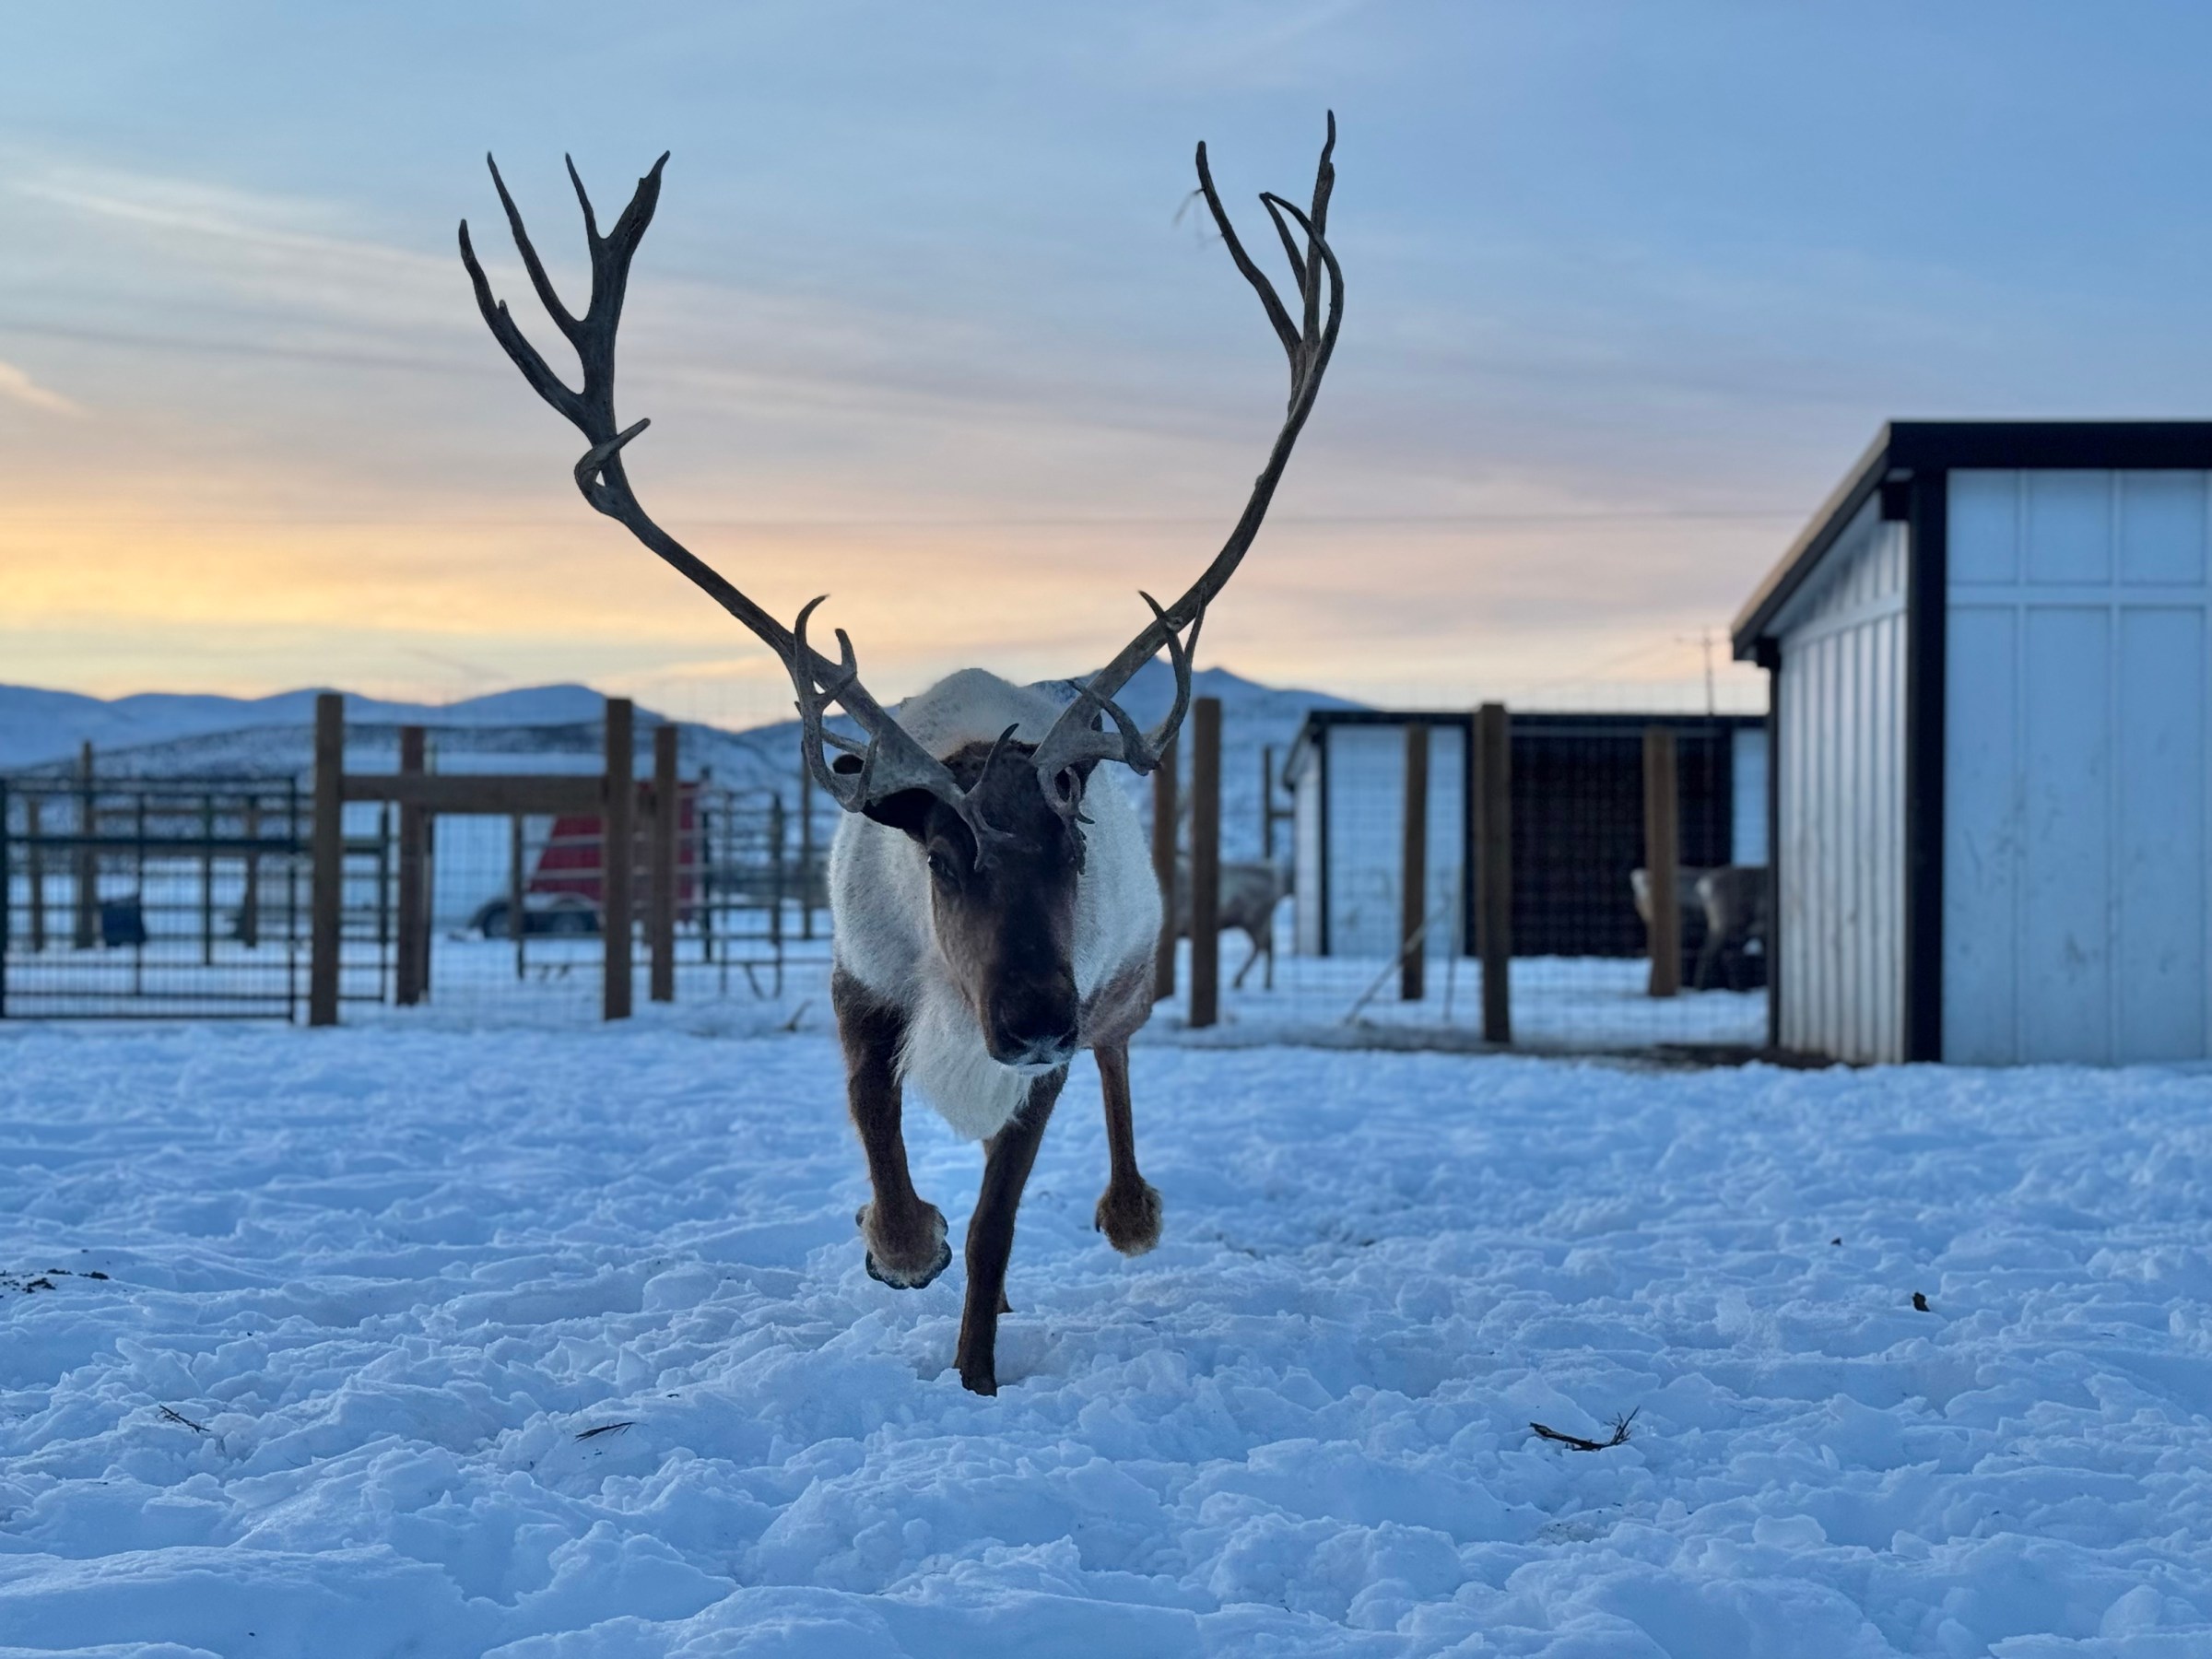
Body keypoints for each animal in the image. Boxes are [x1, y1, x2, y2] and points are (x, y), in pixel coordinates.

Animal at [461, 122, 1342, 1394]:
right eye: (940, 861)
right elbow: (880, 1138)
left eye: (1075, 847)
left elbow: (996, 1221)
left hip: (1126, 981)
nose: (1032, 1018)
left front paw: (975, 1377)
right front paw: (898, 1244)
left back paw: (1130, 1209)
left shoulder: (1059, 1025)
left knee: (1122, 1069)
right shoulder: (859, 980)